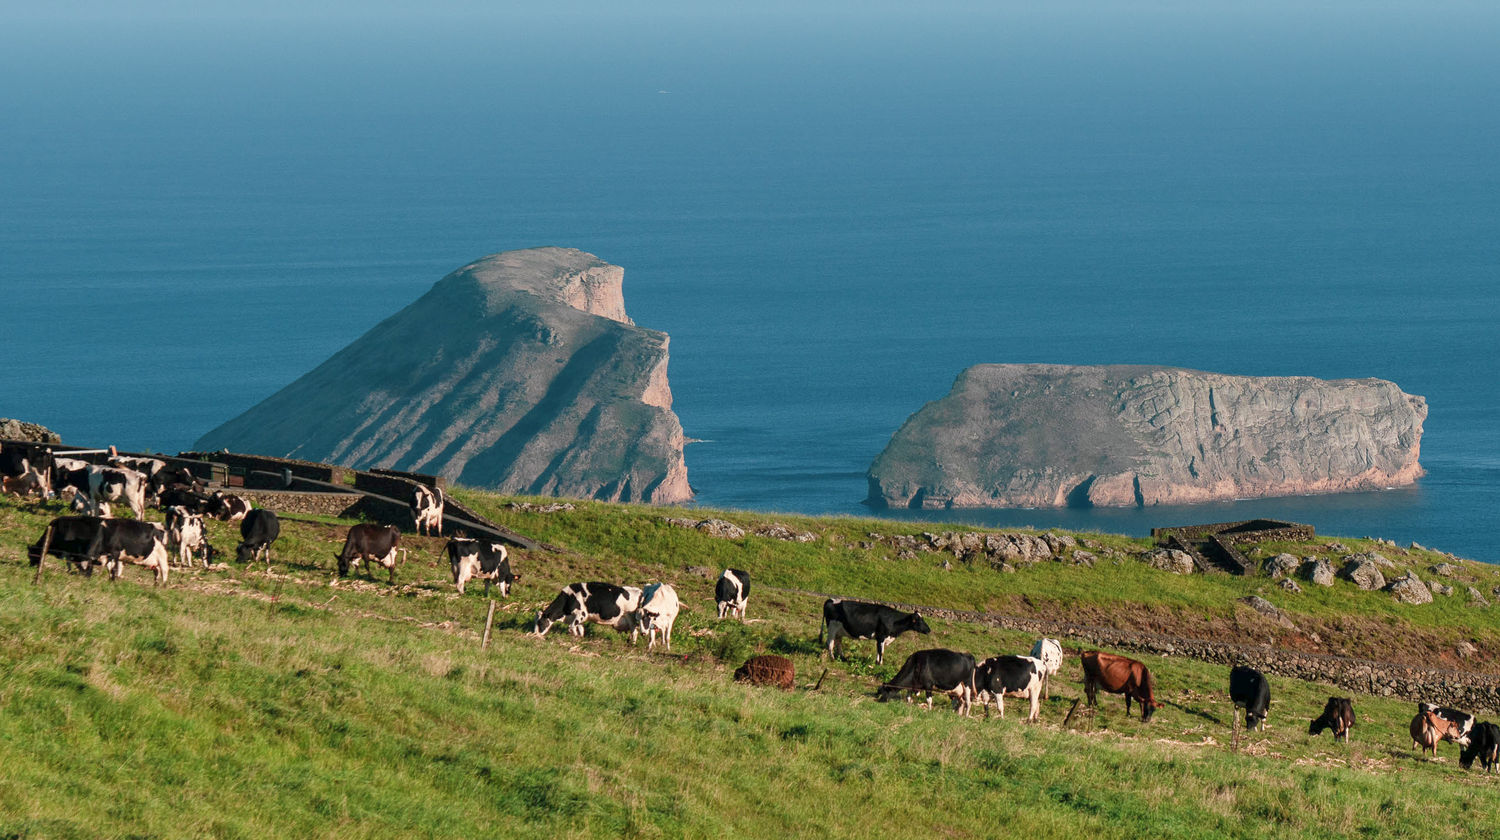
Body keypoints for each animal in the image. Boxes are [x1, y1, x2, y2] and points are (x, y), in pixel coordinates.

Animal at [26, 516, 170, 588]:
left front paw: (112, 581)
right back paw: (155, 585)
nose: (30, 566)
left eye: (32, 555)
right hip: (153, 562)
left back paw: (163, 587)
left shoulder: (115, 553)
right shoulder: (103, 556)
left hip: (162, 557)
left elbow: (113, 569)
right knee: (156, 572)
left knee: (164, 571)